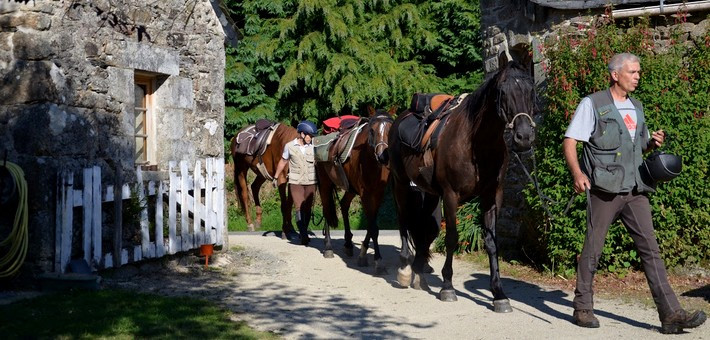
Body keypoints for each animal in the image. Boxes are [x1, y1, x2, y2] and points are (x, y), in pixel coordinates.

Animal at [318, 105, 398, 272]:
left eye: (390, 129)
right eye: (372, 131)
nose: (384, 156)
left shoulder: (377, 194)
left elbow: (372, 226)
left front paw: (363, 252)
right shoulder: (365, 194)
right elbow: (373, 228)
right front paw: (378, 260)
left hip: (350, 188)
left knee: (343, 205)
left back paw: (348, 244)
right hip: (325, 183)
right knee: (327, 209)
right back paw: (328, 246)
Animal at [386, 56, 536, 314]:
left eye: (530, 90)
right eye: (502, 92)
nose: (524, 137)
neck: (476, 144)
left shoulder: (492, 196)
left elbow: (491, 243)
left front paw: (499, 294)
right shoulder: (450, 195)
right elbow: (452, 238)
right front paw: (447, 287)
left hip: (429, 193)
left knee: (424, 228)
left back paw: (418, 273)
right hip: (402, 184)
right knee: (404, 221)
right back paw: (405, 270)